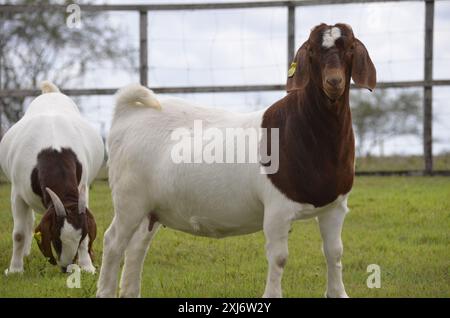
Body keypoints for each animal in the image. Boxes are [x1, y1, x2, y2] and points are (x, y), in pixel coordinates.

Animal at [0, 81, 103, 274]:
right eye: (56, 239)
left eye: (80, 238)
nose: (67, 268)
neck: (54, 149)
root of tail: (50, 92)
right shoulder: (17, 193)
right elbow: (19, 233)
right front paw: (15, 269)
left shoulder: (82, 190)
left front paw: (87, 266)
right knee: (28, 222)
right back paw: (24, 253)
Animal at [97, 23, 376, 298]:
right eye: (311, 51)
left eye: (351, 48)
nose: (334, 81)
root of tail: (129, 112)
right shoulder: (277, 208)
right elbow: (279, 258)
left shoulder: (336, 206)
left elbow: (334, 252)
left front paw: (338, 292)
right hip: (129, 198)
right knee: (113, 242)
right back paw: (105, 290)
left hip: (151, 208)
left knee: (136, 248)